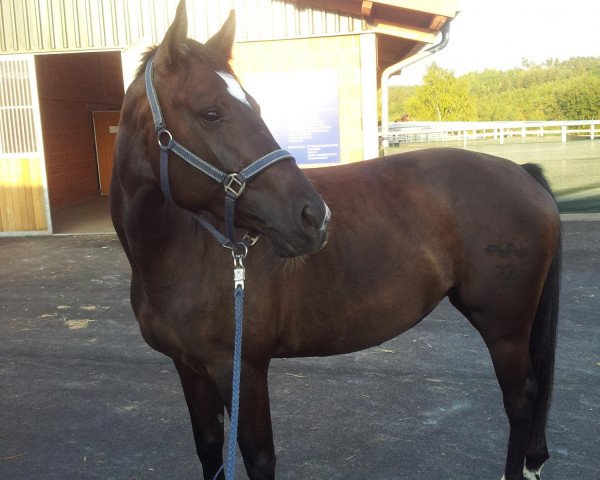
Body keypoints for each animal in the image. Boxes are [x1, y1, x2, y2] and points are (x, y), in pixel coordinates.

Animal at [111, 1, 564, 478]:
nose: (315, 216)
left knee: (520, 400)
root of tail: (521, 173)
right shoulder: (190, 369)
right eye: (210, 112)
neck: (178, 257)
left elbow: (258, 457)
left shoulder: (243, 370)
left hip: (504, 328)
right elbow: (209, 448)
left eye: (254, 105)